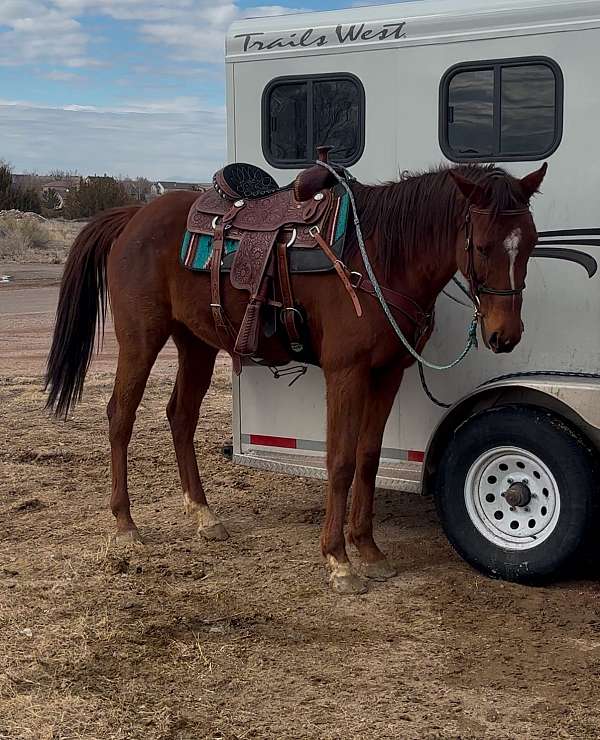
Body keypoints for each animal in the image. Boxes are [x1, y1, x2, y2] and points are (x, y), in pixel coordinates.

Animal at [44, 162, 548, 596]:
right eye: (480, 246)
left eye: (529, 243)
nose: (504, 335)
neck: (381, 256)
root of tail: (133, 216)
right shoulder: (346, 372)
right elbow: (340, 461)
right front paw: (338, 560)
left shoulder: (388, 374)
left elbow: (368, 458)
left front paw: (369, 550)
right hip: (141, 339)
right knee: (120, 416)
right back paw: (125, 524)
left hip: (196, 343)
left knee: (180, 416)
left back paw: (204, 515)